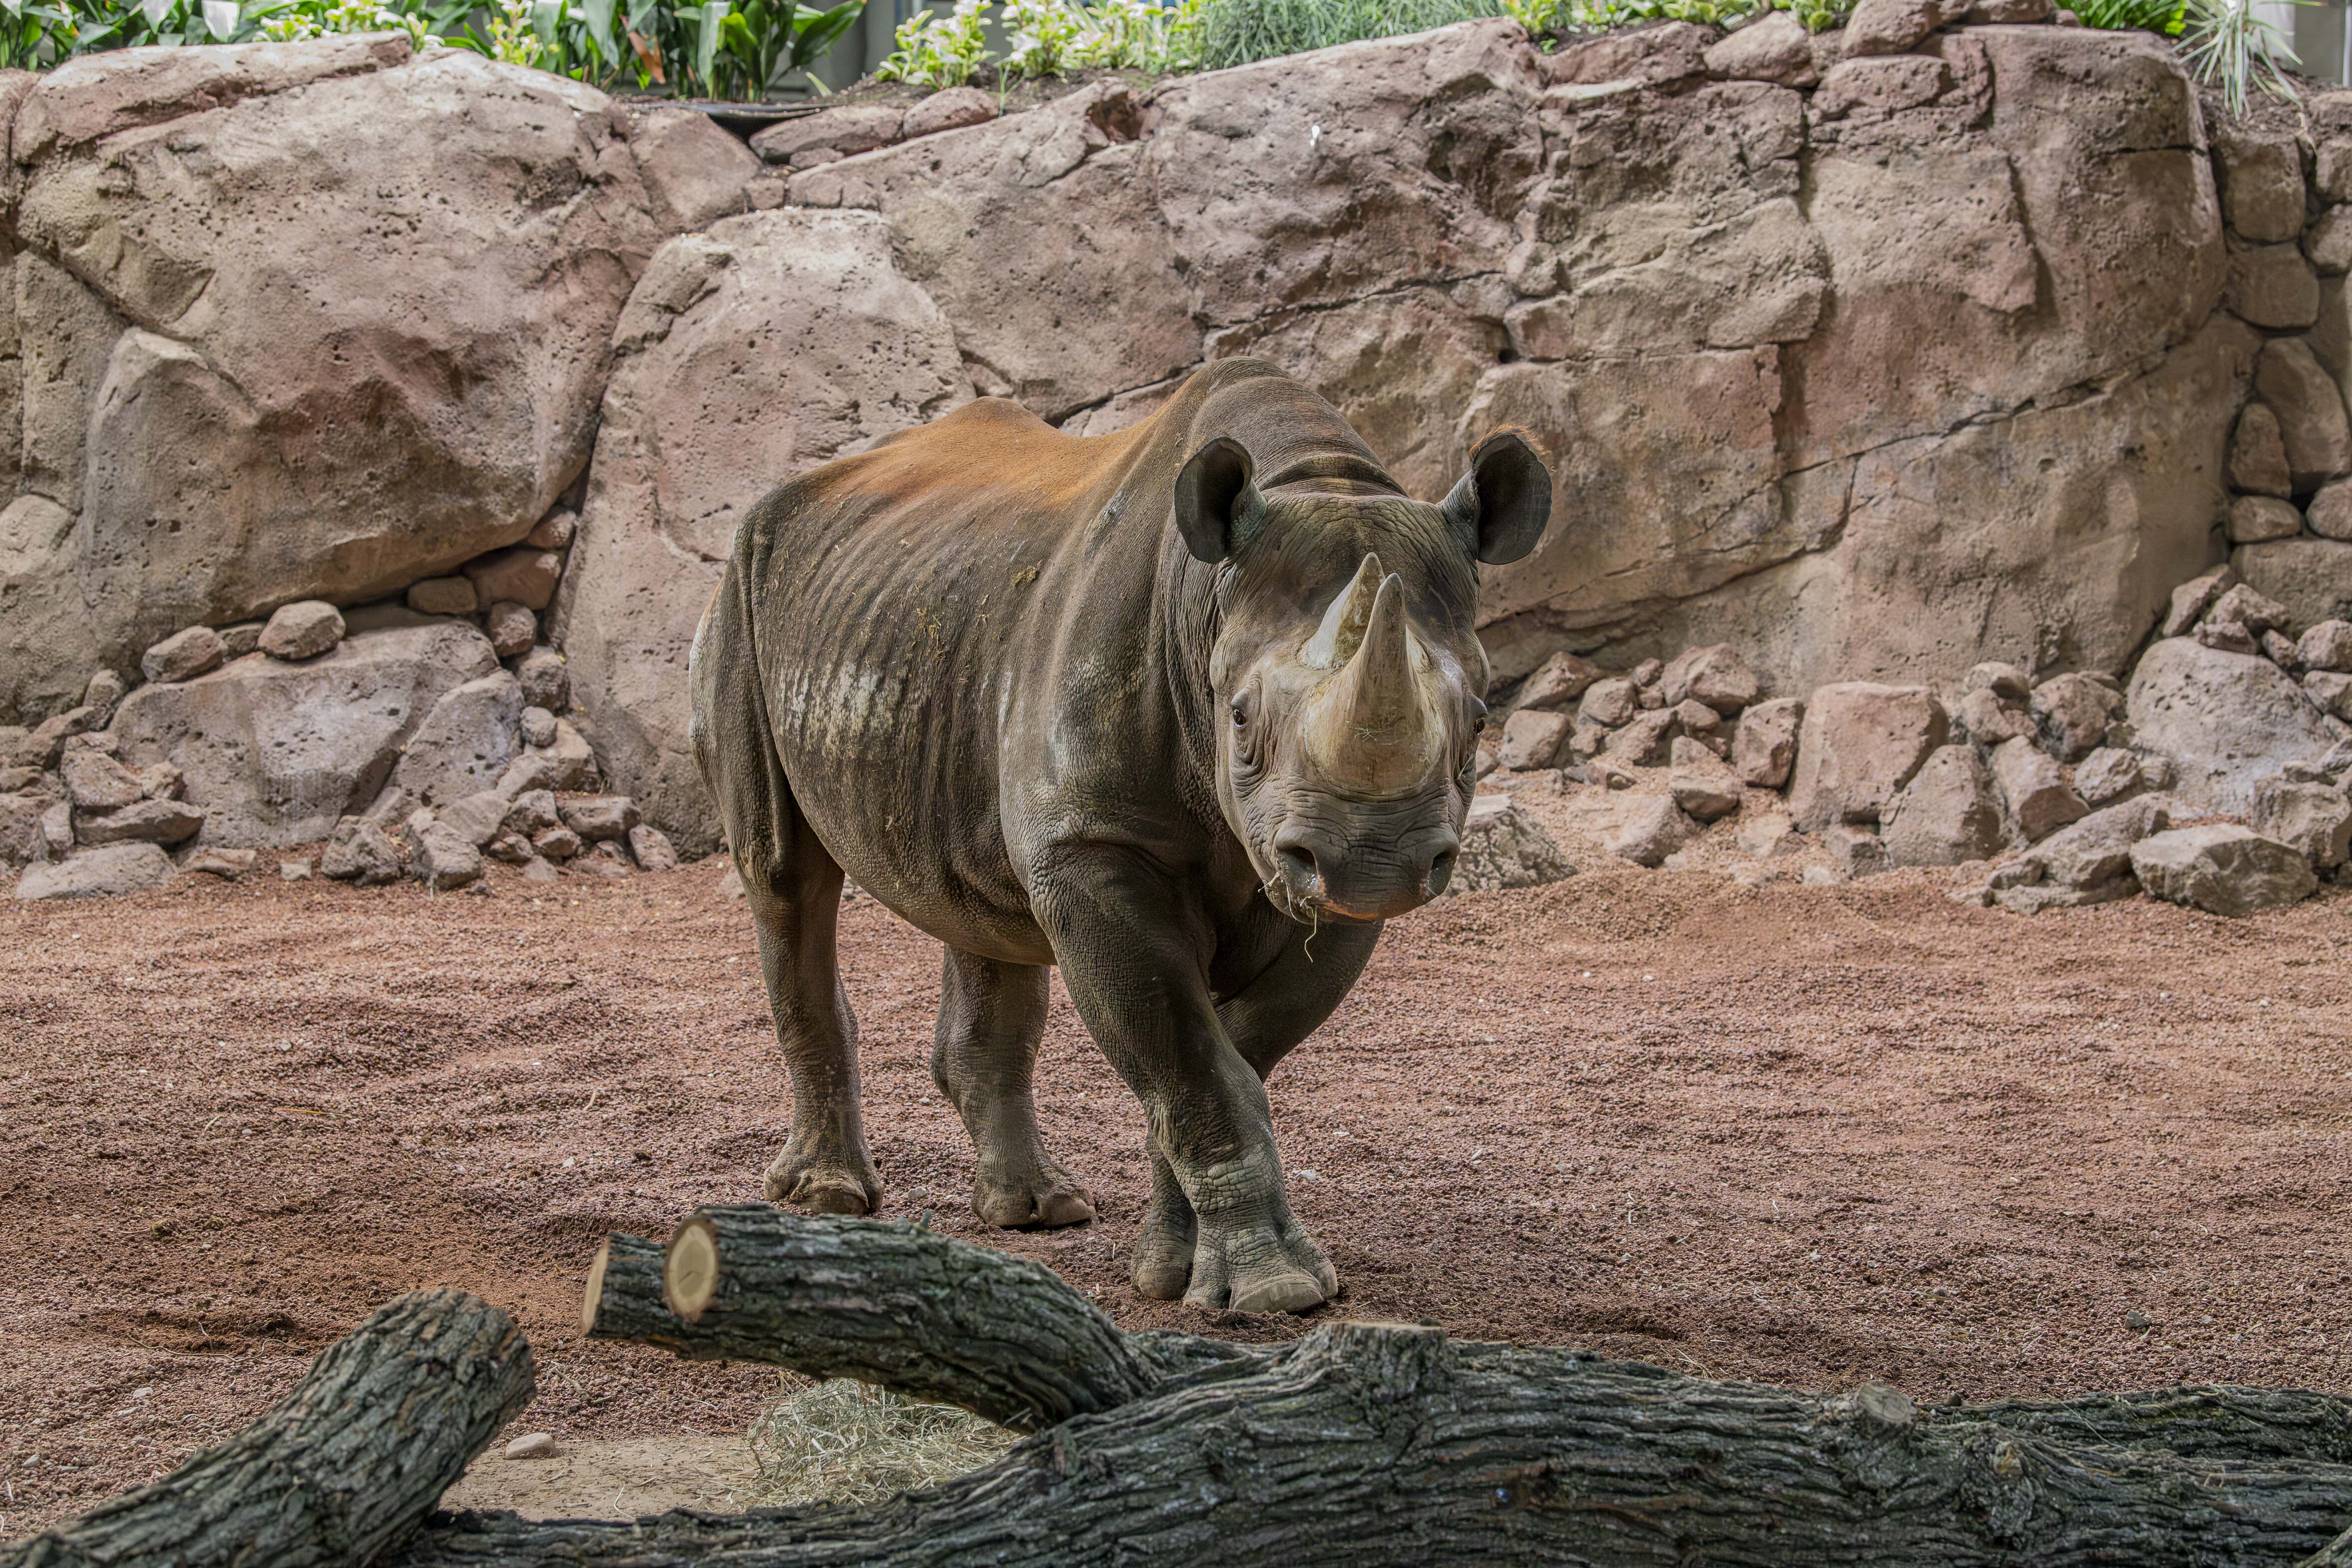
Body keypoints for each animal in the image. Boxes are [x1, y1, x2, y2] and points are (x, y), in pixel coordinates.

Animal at [689, 358, 1551, 1313]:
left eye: (1480, 721)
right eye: (1239, 717)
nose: (1375, 860)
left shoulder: (1315, 884)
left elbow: (1228, 1057)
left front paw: (1176, 1270)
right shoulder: (1095, 847)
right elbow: (1193, 1061)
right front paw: (1276, 1288)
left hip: (940, 623)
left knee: (980, 905)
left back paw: (1037, 1209)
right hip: (745, 585)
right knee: (784, 876)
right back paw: (830, 1197)